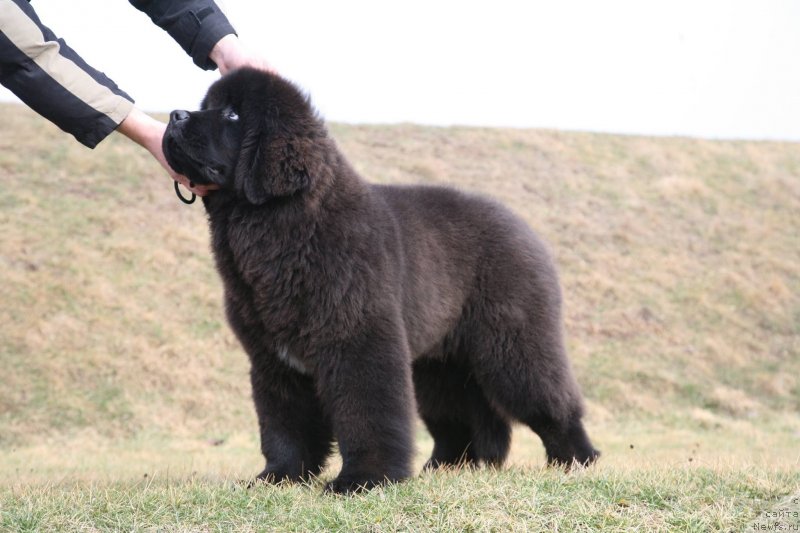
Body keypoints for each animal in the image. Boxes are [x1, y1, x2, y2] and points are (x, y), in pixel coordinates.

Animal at [162, 68, 596, 492]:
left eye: (233, 115)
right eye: (207, 105)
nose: (174, 115)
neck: (286, 226)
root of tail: (526, 229)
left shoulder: (357, 339)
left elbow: (366, 413)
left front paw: (364, 479)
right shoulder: (272, 358)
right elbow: (284, 425)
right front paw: (279, 477)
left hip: (513, 345)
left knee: (551, 403)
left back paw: (575, 461)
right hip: (440, 365)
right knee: (466, 418)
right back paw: (447, 469)